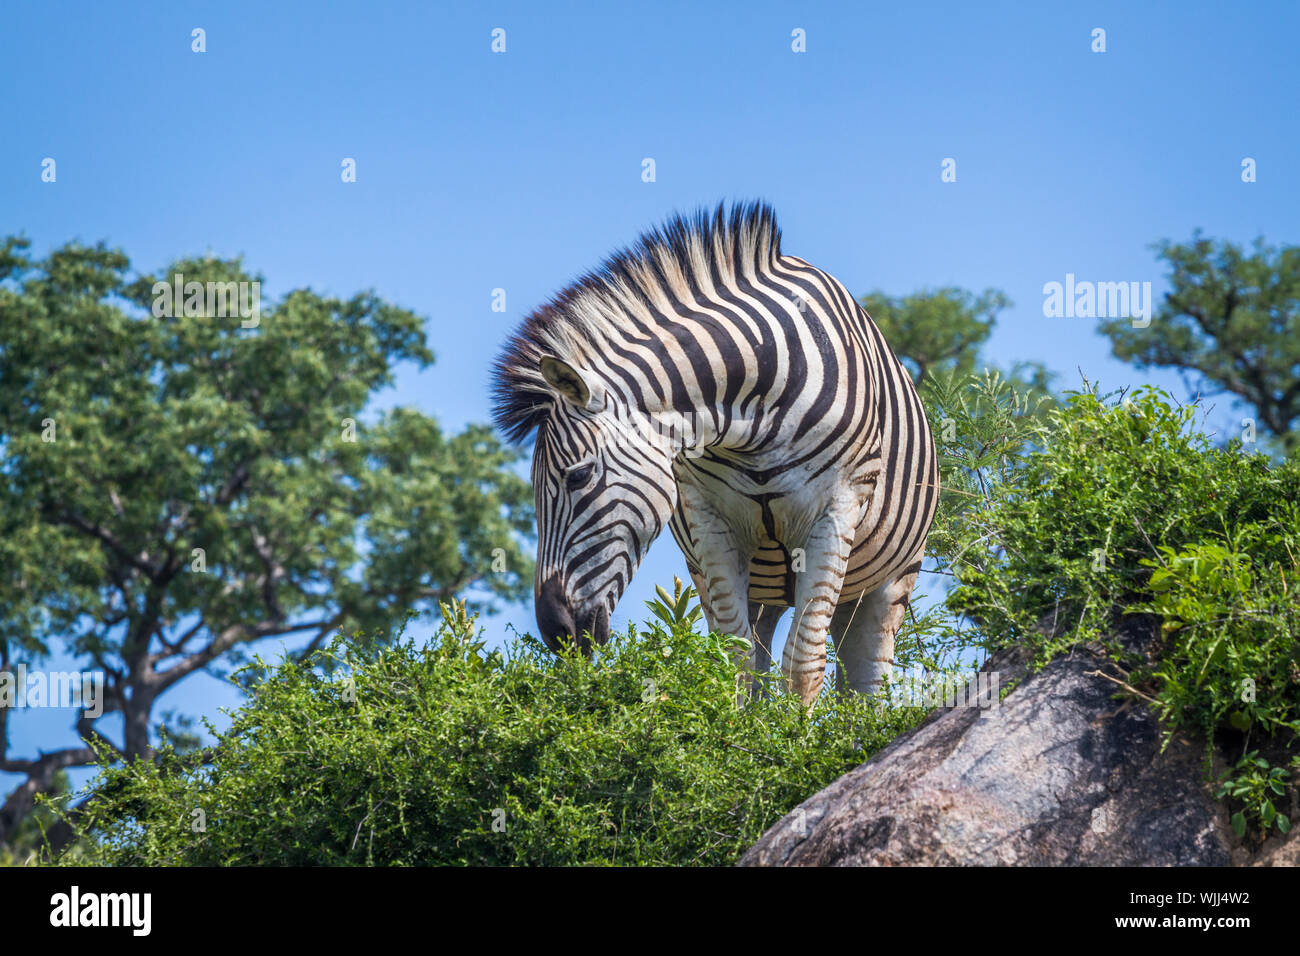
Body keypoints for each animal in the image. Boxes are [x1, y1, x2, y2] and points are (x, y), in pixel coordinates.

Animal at [492, 202, 938, 706]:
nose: (556, 632)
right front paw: (742, 729)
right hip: (758, 585)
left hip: (887, 581)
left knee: (865, 688)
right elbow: (736, 665)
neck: (755, 415)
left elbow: (803, 668)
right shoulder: (711, 522)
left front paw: (795, 731)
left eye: (578, 477)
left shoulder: (834, 513)